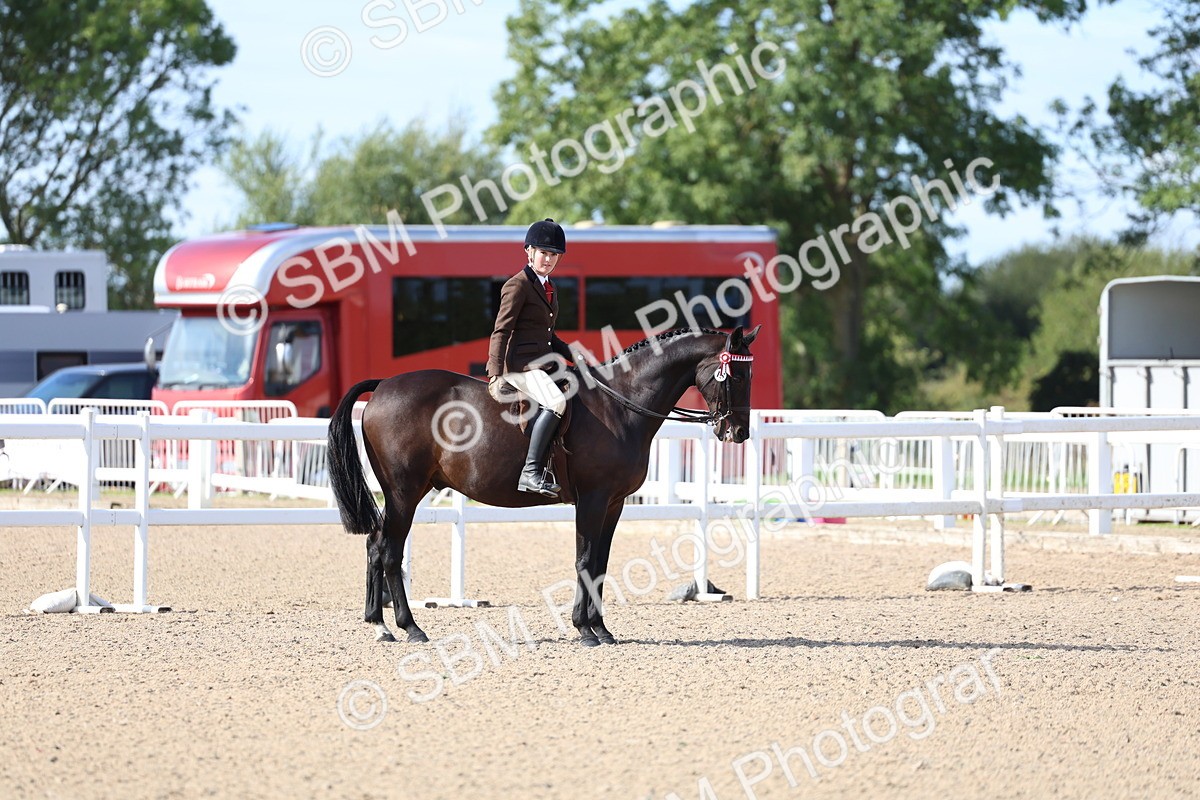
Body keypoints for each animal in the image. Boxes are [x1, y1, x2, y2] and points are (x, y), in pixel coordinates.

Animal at [326, 324, 761, 647]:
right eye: (737, 374)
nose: (738, 432)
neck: (619, 405)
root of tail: (385, 384)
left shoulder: (614, 504)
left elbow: (600, 564)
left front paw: (601, 629)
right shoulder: (592, 500)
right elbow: (584, 560)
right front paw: (585, 629)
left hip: (406, 492)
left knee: (375, 544)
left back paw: (379, 625)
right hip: (404, 492)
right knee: (390, 551)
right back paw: (409, 627)